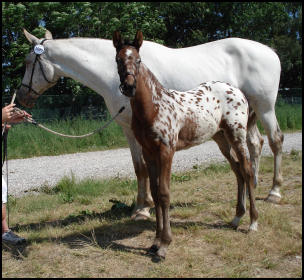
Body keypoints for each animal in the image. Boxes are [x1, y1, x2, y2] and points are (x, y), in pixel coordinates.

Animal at [16, 29, 282, 220]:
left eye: (29, 62)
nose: (21, 96)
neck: (113, 73)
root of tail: (270, 51)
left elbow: (143, 168)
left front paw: (142, 209)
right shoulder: (128, 129)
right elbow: (139, 168)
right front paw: (142, 205)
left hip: (265, 108)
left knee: (275, 141)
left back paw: (274, 192)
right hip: (246, 116)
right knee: (255, 144)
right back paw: (253, 184)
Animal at [113, 31, 258, 260]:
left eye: (138, 60)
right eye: (118, 59)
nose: (129, 86)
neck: (153, 107)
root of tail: (237, 91)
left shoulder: (166, 151)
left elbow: (164, 194)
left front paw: (164, 244)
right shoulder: (149, 152)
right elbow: (155, 192)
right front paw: (154, 242)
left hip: (237, 135)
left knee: (247, 170)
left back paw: (252, 223)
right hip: (221, 139)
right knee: (238, 171)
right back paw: (236, 218)